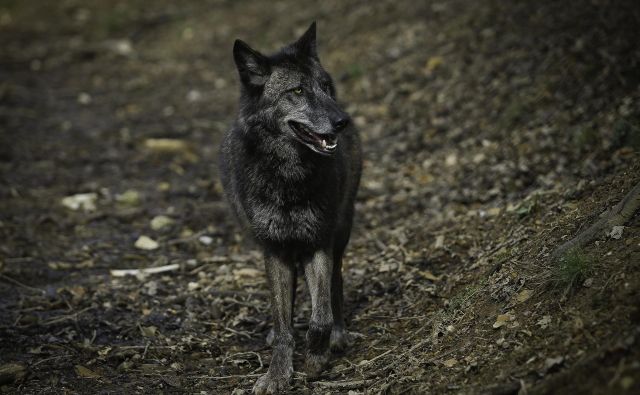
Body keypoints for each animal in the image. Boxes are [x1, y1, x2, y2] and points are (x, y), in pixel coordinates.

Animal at [219, 22, 360, 395]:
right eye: (297, 90)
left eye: (325, 87)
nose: (343, 121)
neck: (288, 176)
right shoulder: (274, 250)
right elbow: (283, 322)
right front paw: (279, 372)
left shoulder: (319, 243)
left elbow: (320, 315)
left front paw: (316, 357)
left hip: (342, 230)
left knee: (335, 285)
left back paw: (338, 334)